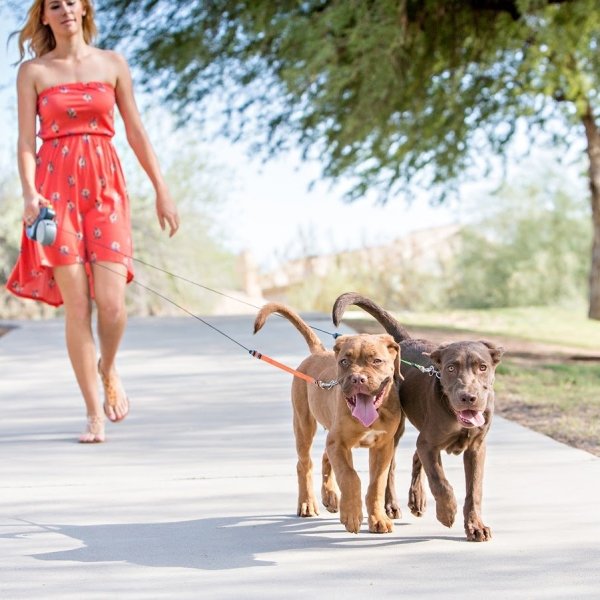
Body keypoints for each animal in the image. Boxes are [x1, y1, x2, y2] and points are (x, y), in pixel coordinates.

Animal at [253, 302, 404, 532]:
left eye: (376, 361)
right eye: (344, 361)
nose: (357, 378)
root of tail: (319, 352)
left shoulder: (382, 447)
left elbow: (376, 484)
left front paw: (378, 518)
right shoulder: (339, 442)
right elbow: (350, 477)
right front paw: (351, 515)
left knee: (325, 457)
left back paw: (330, 497)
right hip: (304, 425)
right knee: (304, 464)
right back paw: (308, 503)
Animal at [330, 292, 504, 540]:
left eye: (483, 367)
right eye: (451, 368)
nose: (468, 397)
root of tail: (405, 340)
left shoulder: (476, 448)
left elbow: (474, 490)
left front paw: (475, 526)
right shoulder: (429, 443)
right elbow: (440, 481)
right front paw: (447, 512)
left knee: (414, 457)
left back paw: (417, 499)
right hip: (398, 430)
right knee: (392, 467)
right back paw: (393, 505)